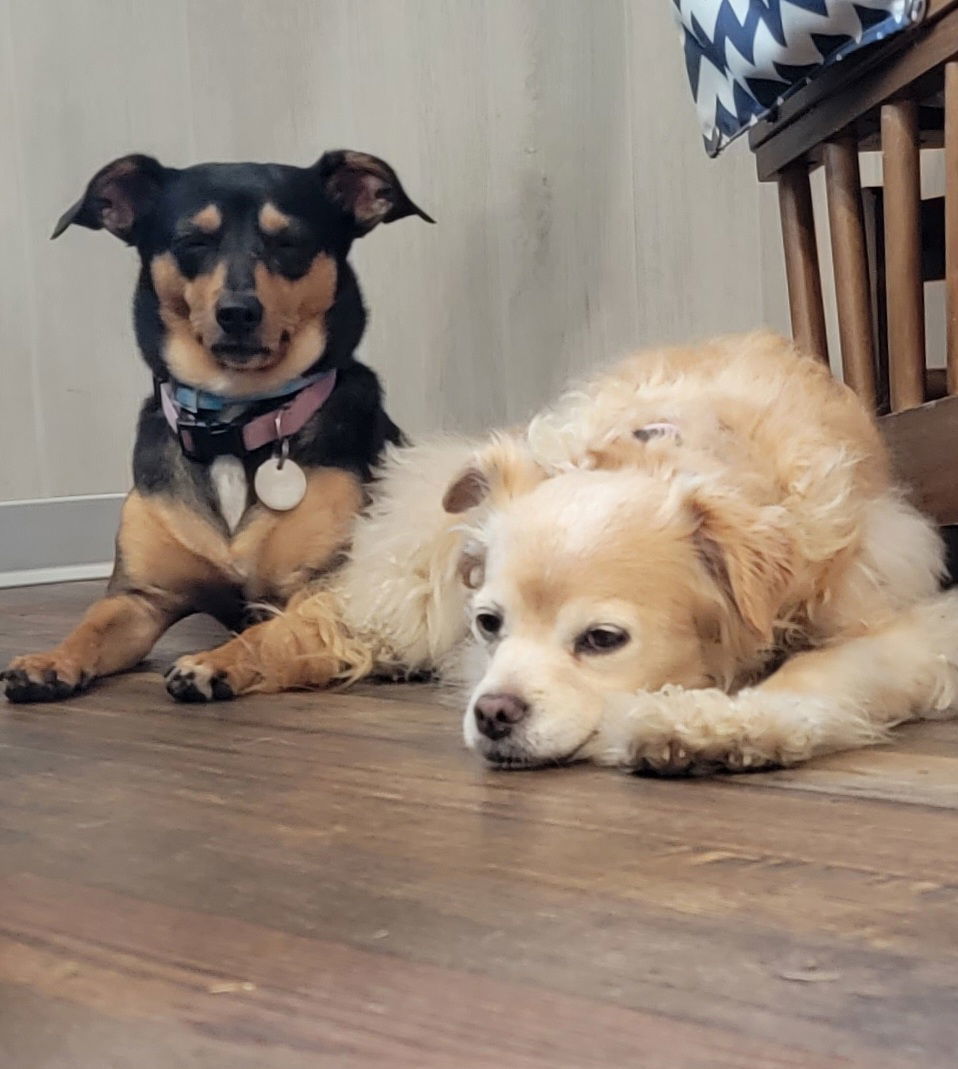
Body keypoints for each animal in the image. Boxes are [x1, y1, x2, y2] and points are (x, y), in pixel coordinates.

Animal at [3, 148, 429, 701]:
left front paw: (215, 662)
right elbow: (92, 624)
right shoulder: (141, 596)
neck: (234, 423)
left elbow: (275, 633)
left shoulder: (328, 583)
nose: (238, 312)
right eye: (193, 242)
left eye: (289, 242)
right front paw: (50, 660)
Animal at [181, 329, 958, 773]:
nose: (492, 714)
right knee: (333, 620)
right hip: (413, 573)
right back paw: (213, 665)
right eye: (489, 624)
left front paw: (708, 727)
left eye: (603, 639)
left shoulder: (880, 610)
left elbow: (814, 675)